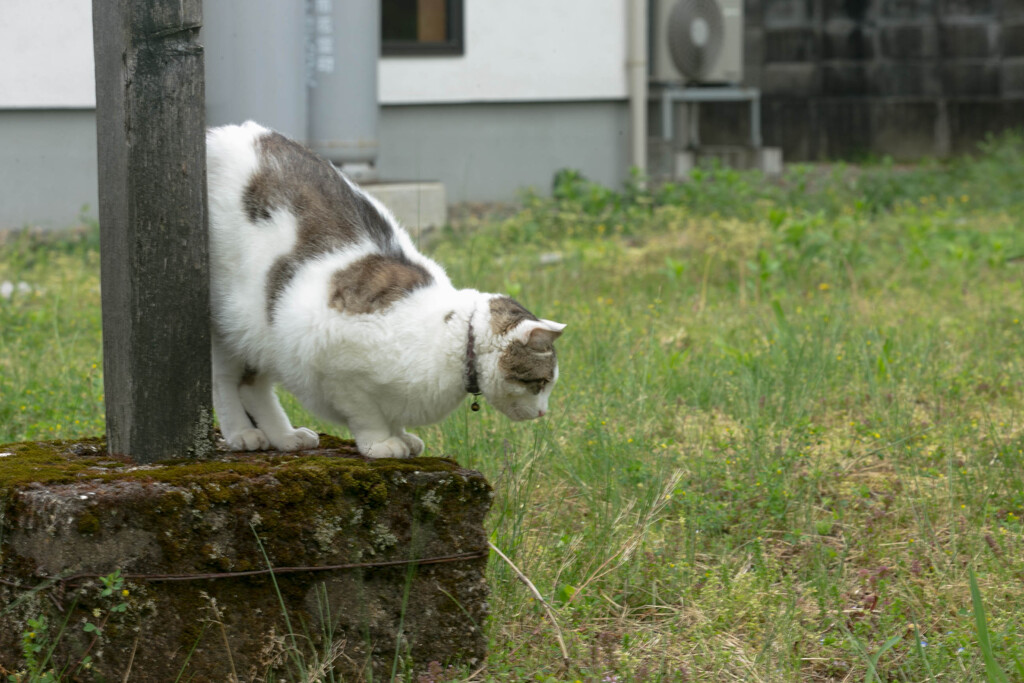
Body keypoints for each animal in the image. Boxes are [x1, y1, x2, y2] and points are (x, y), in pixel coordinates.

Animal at [203, 121, 565, 458]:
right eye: (540, 383)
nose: (544, 412)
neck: (452, 337)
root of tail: (221, 132)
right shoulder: (338, 370)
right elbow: (367, 415)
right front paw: (381, 444)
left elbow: (393, 414)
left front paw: (402, 436)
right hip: (238, 325)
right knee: (227, 383)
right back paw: (243, 435)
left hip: (263, 337)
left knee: (253, 387)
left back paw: (286, 437)